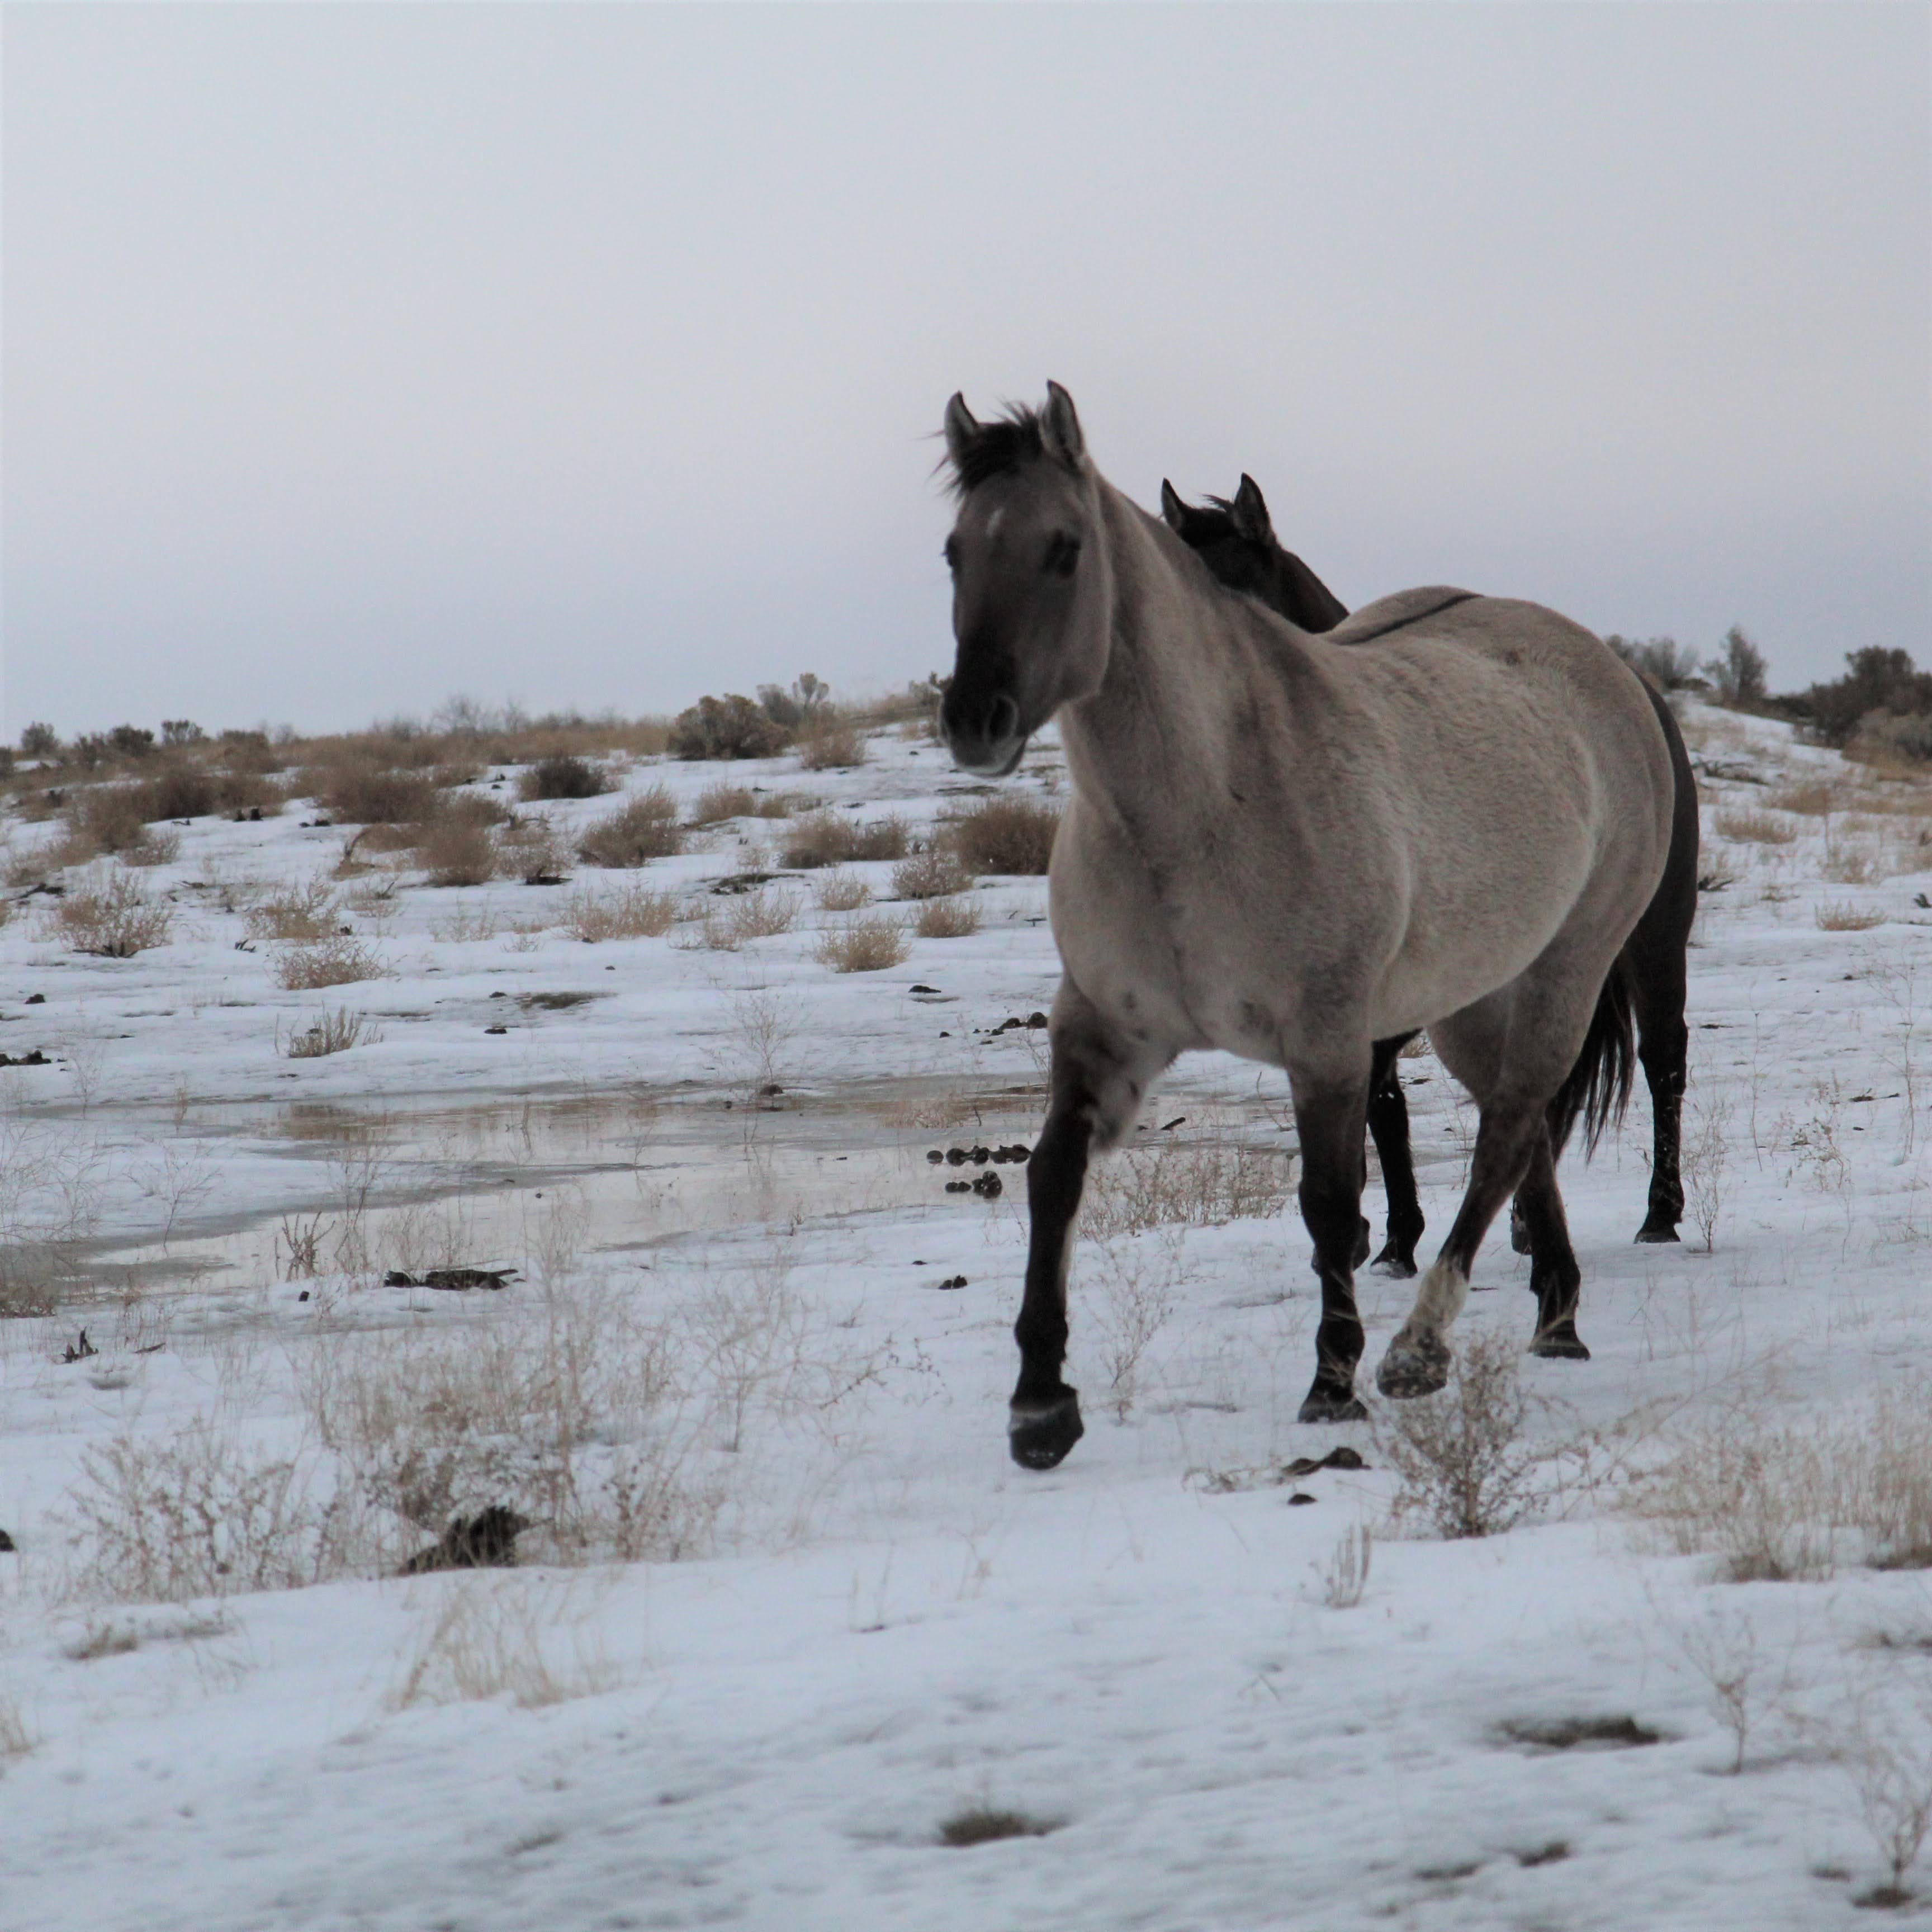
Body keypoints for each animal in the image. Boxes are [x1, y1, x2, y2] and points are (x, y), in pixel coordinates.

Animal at [1161, 474, 1699, 1264]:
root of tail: (1646, 700)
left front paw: (1366, 1234)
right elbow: (1385, 1102)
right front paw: (1390, 1240)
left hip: (1652, 937)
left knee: (1663, 1059)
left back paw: (1659, 1213)